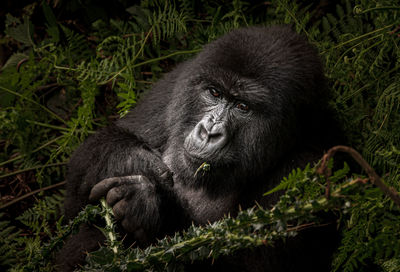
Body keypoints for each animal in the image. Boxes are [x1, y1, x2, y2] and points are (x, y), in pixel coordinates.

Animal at [57, 25, 340, 270]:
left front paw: (148, 204)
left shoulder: (309, 164)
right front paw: (134, 161)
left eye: (243, 107)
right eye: (214, 93)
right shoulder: (178, 81)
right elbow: (78, 192)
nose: (209, 131)